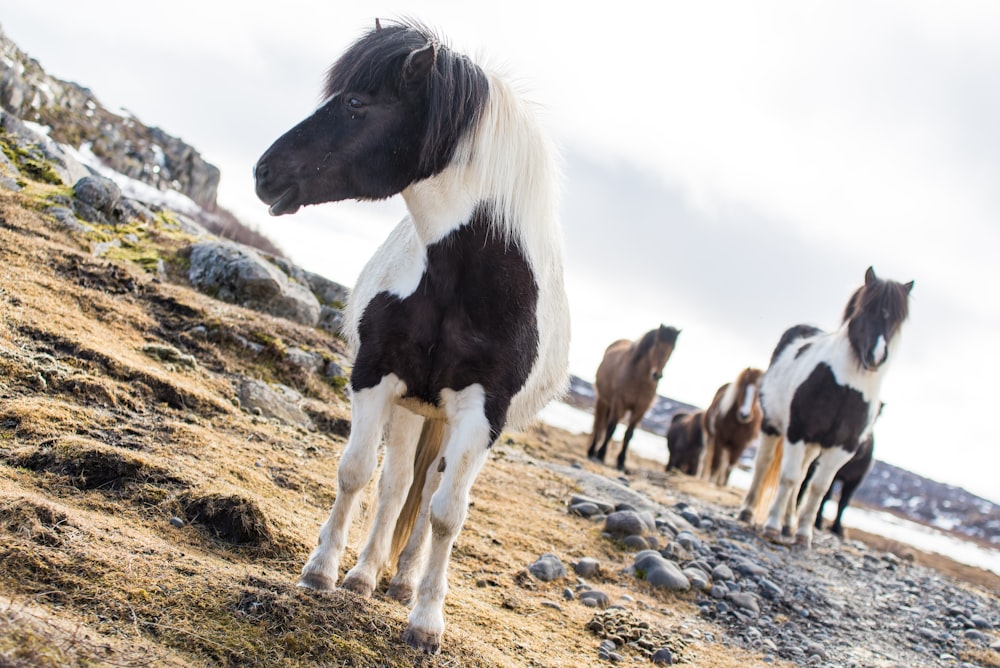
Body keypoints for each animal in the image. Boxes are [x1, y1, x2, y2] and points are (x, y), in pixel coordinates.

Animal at [254, 19, 572, 652]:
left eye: (355, 103)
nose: (263, 172)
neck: (464, 278)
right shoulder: (376, 377)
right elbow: (357, 473)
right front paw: (322, 571)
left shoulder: (481, 414)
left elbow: (448, 513)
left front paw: (426, 622)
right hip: (411, 409)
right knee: (399, 484)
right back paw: (365, 575)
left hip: (449, 423)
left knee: (428, 497)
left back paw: (402, 584)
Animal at [584, 324, 680, 470]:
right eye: (657, 343)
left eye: (672, 349)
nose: (656, 375)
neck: (638, 379)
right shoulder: (619, 402)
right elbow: (611, 428)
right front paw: (601, 454)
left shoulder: (640, 409)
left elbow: (629, 434)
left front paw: (621, 462)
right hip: (603, 401)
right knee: (600, 424)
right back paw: (592, 451)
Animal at [740, 266, 912, 548]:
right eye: (865, 309)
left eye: (897, 320)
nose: (876, 356)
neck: (844, 387)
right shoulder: (797, 432)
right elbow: (788, 478)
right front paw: (772, 526)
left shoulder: (842, 448)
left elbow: (818, 488)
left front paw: (803, 533)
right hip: (772, 426)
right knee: (764, 464)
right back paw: (749, 511)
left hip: (813, 445)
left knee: (802, 478)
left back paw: (790, 524)